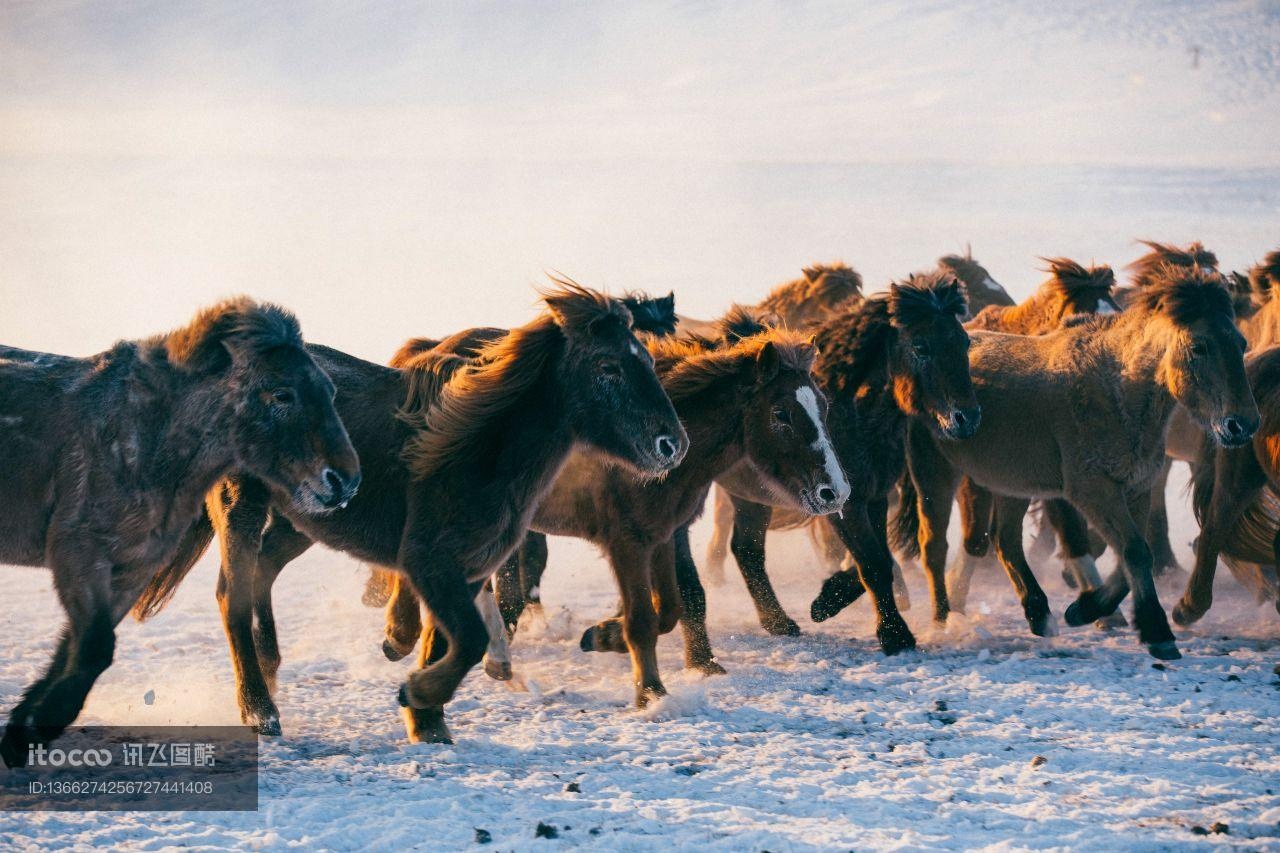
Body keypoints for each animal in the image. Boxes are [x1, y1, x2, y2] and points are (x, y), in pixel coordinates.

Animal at [0, 298, 360, 763]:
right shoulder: (79, 555)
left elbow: (78, 653)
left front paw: (24, 728)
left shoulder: (129, 569)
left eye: (331, 392)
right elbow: (92, 649)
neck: (144, 438)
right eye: (282, 394)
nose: (345, 481)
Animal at [129, 280, 686, 742]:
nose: (672, 445)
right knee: (233, 595)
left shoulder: (465, 568)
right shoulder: (431, 564)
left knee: (262, 572)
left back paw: (270, 674)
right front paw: (417, 695)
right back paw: (260, 711)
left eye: (648, 359)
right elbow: (469, 639)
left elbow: (446, 641)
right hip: (241, 506)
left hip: (299, 522)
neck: (478, 446)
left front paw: (427, 720)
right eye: (609, 367)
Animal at [896, 263, 1254, 655]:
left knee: (1005, 542)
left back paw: (1040, 615)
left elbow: (1130, 557)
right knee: (934, 546)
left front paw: (1085, 608)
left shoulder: (1137, 488)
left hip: (1010, 483)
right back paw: (943, 620)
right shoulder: (1092, 491)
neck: (1117, 389)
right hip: (936, 474)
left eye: (1241, 343)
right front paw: (1156, 632)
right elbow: (1134, 550)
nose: (1242, 424)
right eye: (1199, 346)